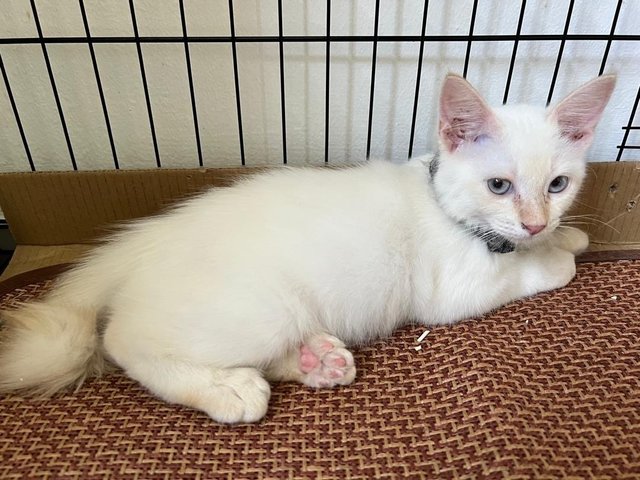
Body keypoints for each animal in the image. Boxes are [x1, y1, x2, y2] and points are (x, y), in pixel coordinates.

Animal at [0, 73, 616, 422]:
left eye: (557, 185)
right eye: (499, 186)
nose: (535, 224)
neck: (443, 201)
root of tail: (142, 243)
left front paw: (567, 234)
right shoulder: (449, 291)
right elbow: (526, 275)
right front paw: (557, 258)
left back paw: (316, 361)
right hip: (257, 308)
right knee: (124, 340)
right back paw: (227, 391)